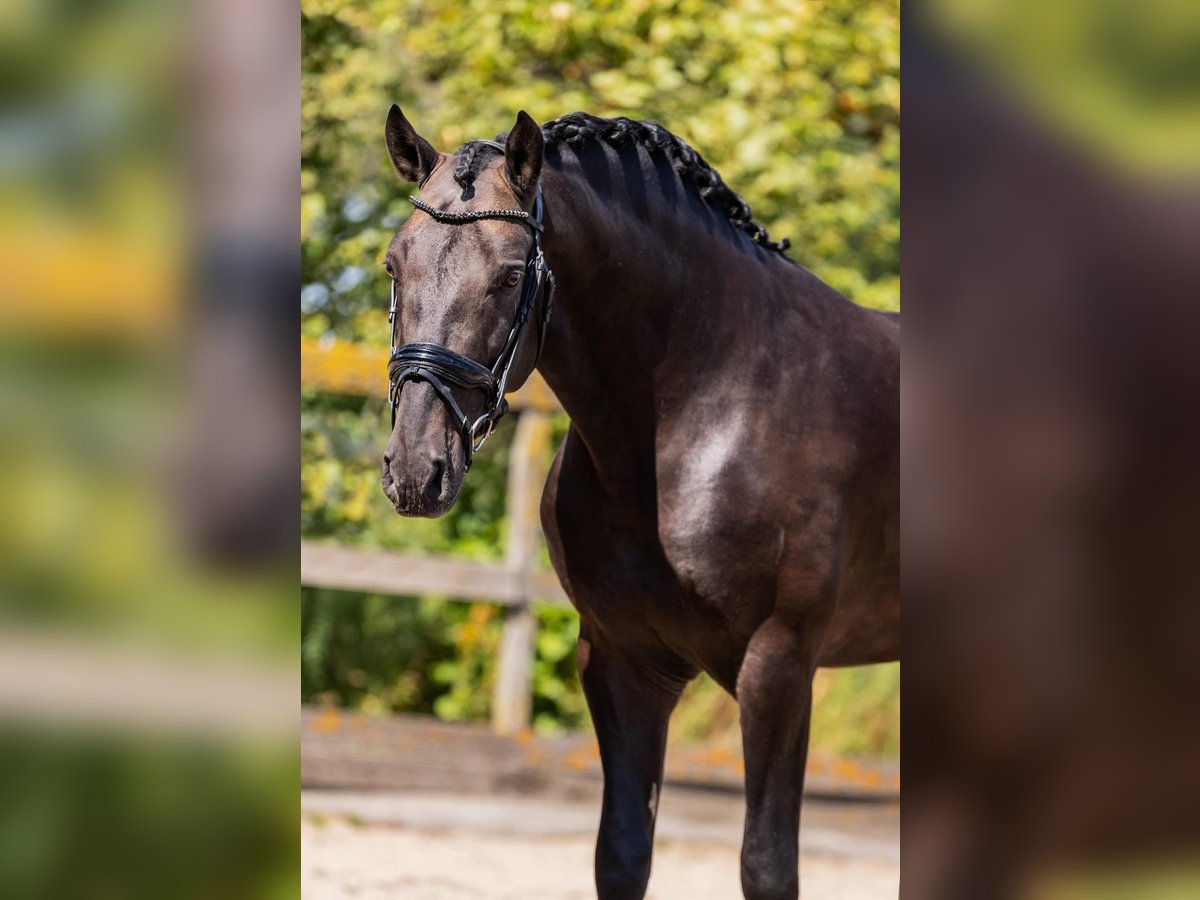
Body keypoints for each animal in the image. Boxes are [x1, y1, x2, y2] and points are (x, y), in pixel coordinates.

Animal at [379, 107, 897, 900]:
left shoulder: (779, 666)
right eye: (393, 264)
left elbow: (767, 864)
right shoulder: (623, 662)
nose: (415, 470)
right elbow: (622, 854)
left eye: (509, 274)